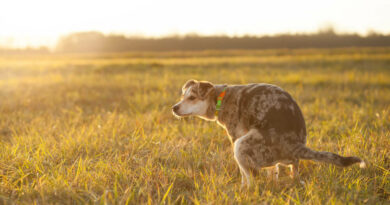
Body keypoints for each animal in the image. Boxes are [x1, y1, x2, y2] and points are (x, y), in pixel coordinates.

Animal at [171, 79, 366, 187]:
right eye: (182, 97)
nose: (174, 108)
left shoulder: (236, 137)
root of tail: (294, 145)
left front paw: (242, 189)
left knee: (251, 179)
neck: (220, 98)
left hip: (241, 145)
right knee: (294, 172)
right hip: (288, 160)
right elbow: (273, 171)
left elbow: (244, 175)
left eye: (192, 97)